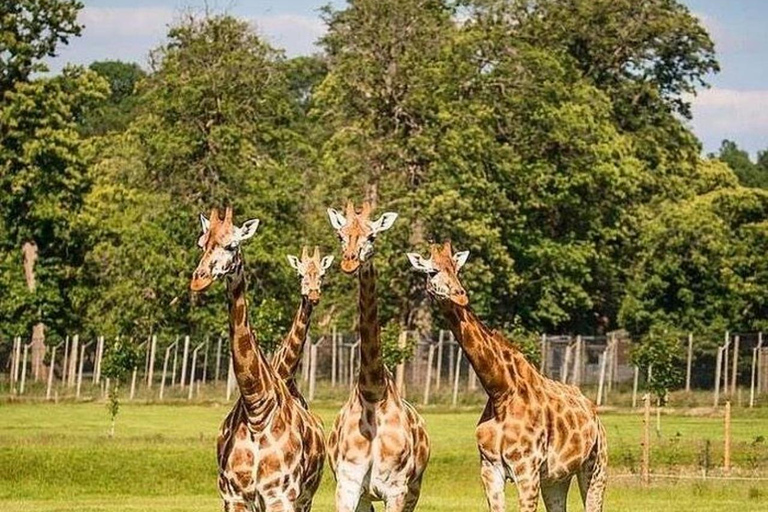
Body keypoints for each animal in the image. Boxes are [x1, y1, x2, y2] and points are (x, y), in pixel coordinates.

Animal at [190, 207, 325, 512]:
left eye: (232, 245)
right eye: (202, 244)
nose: (198, 278)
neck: (256, 409)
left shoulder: (281, 495)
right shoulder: (233, 495)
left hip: (304, 498)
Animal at [326, 201, 431, 512]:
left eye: (372, 236)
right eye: (340, 235)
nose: (349, 261)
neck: (373, 393)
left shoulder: (396, 489)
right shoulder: (348, 486)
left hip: (414, 490)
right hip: (365, 495)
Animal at [407, 241, 607, 512]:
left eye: (457, 269)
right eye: (432, 271)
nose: (460, 294)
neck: (500, 391)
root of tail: (594, 414)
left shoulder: (527, 469)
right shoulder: (490, 469)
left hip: (596, 466)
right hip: (557, 478)